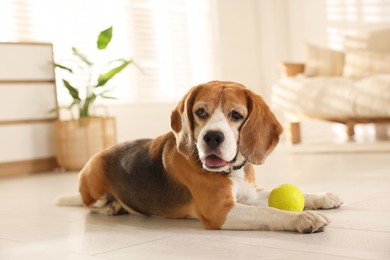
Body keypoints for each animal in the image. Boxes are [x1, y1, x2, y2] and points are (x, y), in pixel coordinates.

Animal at [73, 81, 342, 234]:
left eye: (236, 115)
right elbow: (271, 213)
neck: (232, 170)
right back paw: (112, 207)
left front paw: (322, 197)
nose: (212, 137)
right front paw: (302, 218)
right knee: (90, 206)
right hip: (94, 181)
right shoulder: (220, 211)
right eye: (200, 112)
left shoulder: (250, 195)